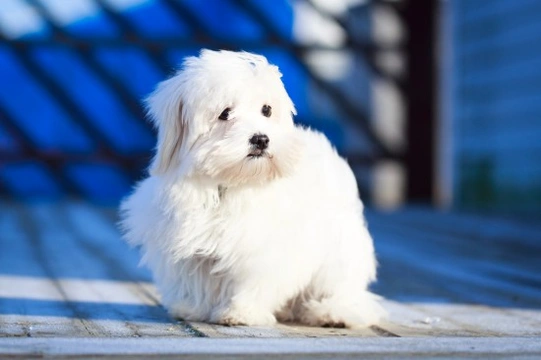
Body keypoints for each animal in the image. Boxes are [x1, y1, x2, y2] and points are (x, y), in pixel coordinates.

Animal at [121, 49, 386, 328]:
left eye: (266, 110)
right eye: (225, 113)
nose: (261, 139)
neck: (230, 182)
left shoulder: (262, 249)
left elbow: (253, 283)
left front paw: (241, 313)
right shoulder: (188, 247)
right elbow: (195, 280)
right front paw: (192, 308)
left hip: (340, 252)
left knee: (341, 288)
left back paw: (334, 312)